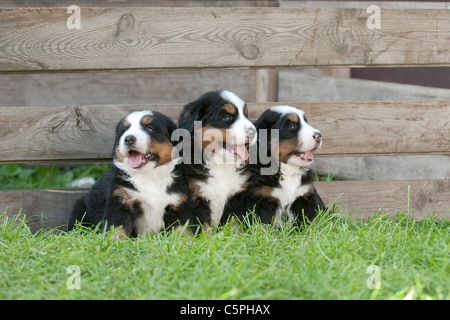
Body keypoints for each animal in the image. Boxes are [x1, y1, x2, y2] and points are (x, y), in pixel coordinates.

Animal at [69, 110, 192, 238]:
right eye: (124, 131)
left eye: (149, 128)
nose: (128, 139)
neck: (149, 176)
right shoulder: (120, 202)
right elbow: (117, 230)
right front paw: (114, 241)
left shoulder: (178, 205)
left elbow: (182, 230)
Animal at [178, 90, 258, 228]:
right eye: (226, 118)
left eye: (246, 115)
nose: (253, 132)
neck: (221, 164)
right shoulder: (197, 198)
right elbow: (205, 228)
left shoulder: (238, 197)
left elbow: (234, 225)